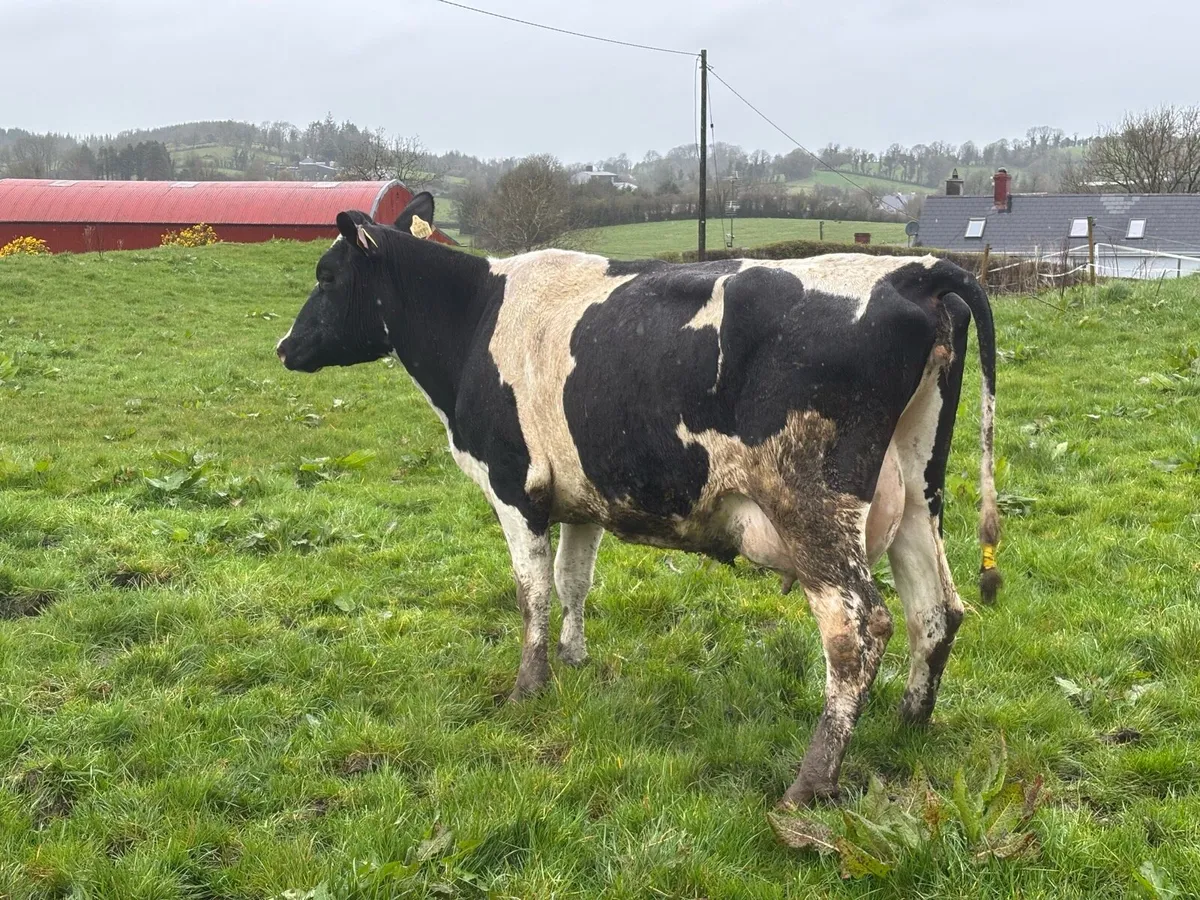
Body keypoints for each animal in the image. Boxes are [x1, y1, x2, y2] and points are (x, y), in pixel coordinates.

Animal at [276, 192, 1001, 808]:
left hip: (812, 506)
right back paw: (909, 723)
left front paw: (529, 687)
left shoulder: (514, 486)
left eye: (327, 276)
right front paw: (574, 660)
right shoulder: (582, 496)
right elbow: (573, 582)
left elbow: (531, 592)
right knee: (936, 610)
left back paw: (809, 785)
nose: (285, 347)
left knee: (859, 629)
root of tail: (915, 270)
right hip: (918, 495)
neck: (477, 315)